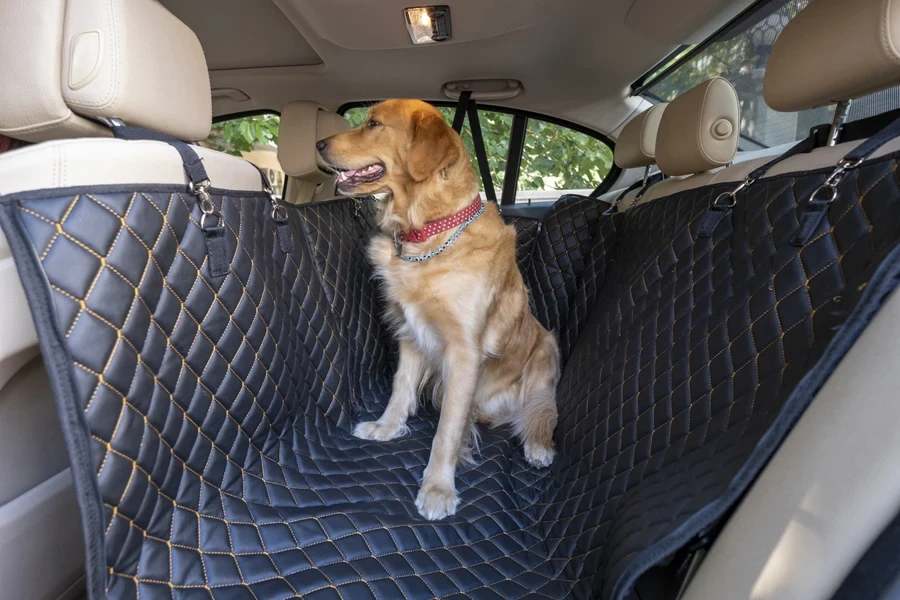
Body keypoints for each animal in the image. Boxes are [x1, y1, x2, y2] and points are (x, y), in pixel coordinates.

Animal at [314, 99, 556, 520]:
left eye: (374, 124)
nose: (318, 144)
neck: (429, 231)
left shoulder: (464, 351)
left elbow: (447, 430)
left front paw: (438, 488)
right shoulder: (411, 331)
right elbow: (401, 387)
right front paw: (386, 427)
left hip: (545, 351)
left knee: (538, 411)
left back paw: (536, 445)